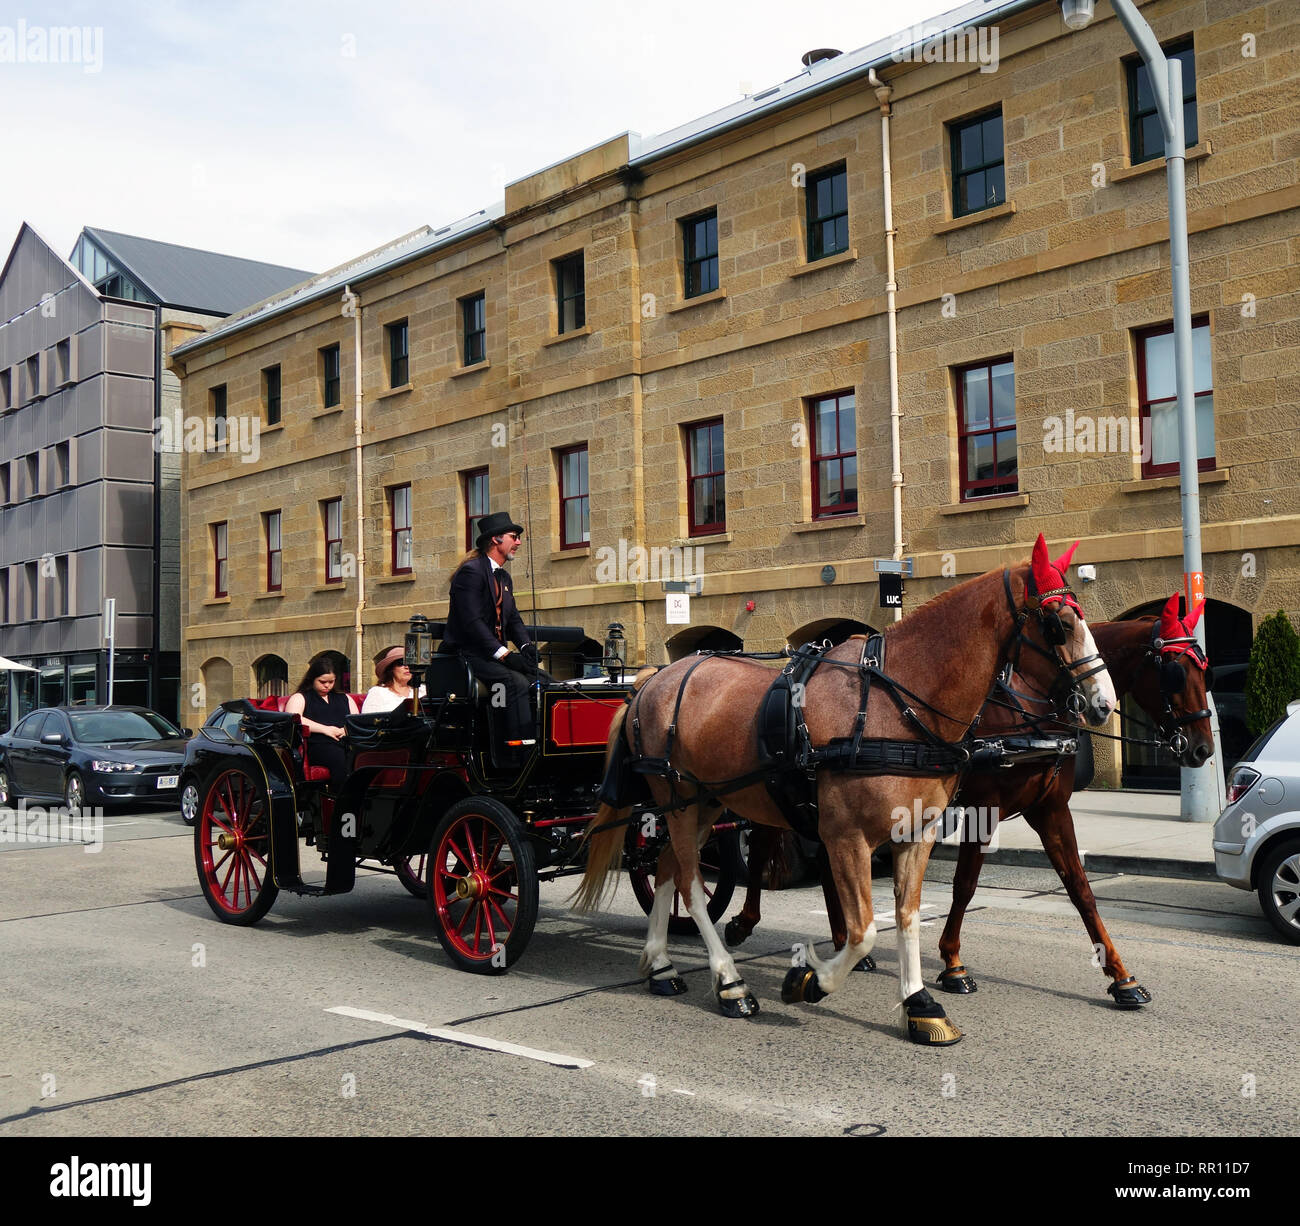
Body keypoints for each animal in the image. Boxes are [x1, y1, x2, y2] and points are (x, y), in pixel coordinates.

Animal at [577, 535, 1118, 1045]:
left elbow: (906, 916)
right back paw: (729, 982)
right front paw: (810, 981)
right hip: (677, 798)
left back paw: (661, 964)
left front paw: (920, 1004)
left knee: (668, 868)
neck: (894, 705)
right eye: (1059, 624)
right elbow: (863, 932)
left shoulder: (915, 832)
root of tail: (651, 677)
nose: (1103, 704)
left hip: (707, 801)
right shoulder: (845, 836)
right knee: (690, 882)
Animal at [728, 592, 1211, 1008]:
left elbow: (1080, 889)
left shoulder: (1050, 808)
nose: (1203, 750)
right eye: (1175, 672)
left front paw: (1121, 976)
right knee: (765, 842)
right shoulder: (985, 809)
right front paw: (953, 964)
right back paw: (742, 921)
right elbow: (965, 885)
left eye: (1205, 668)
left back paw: (845, 944)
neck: (1030, 709)